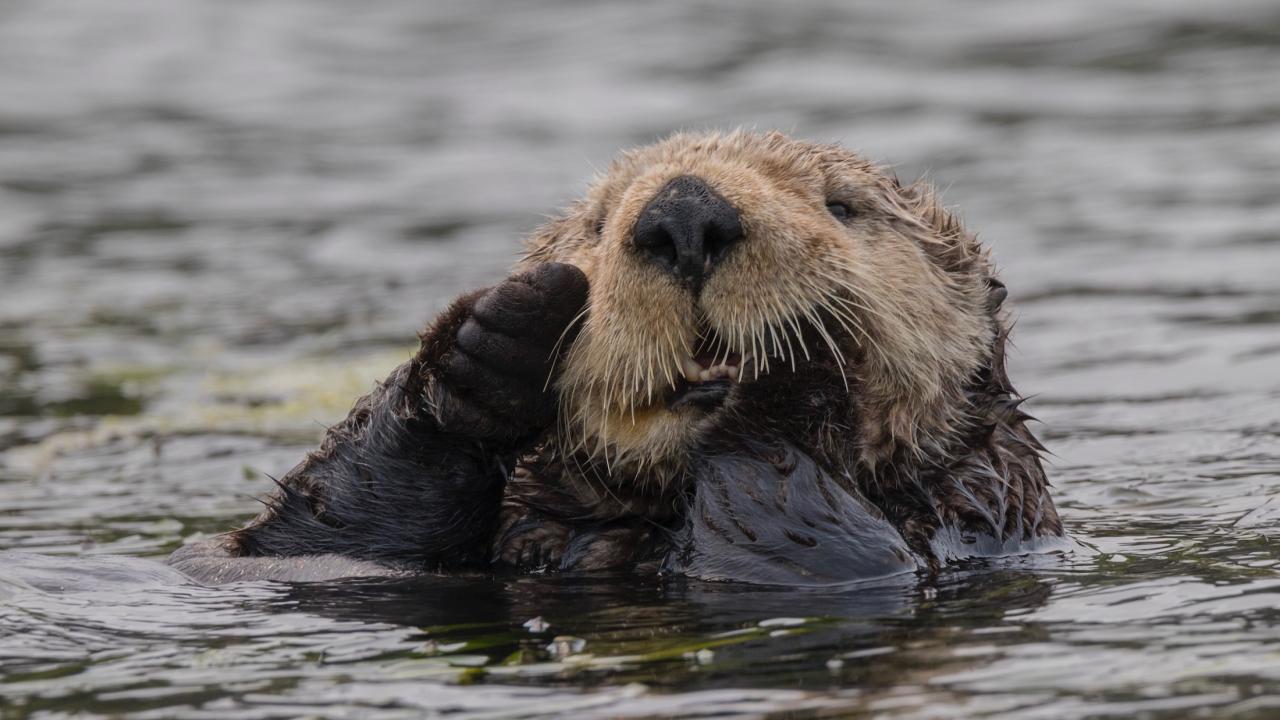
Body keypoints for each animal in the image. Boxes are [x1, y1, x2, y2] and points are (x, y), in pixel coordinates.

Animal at [172, 130, 1070, 584]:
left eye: (843, 207)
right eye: (598, 223)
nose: (684, 211)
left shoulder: (969, 513)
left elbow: (811, 544)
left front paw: (793, 364)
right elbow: (305, 543)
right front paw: (491, 344)